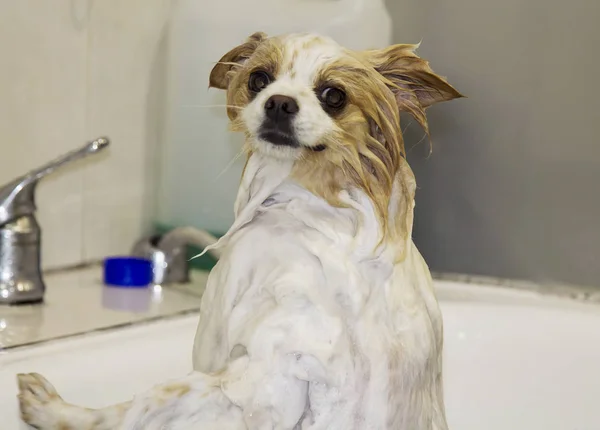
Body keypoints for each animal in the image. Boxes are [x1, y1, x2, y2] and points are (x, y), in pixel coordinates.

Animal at [17, 31, 460, 428]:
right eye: (259, 79)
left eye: (334, 95)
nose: (279, 103)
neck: (303, 209)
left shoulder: (269, 374)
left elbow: (136, 407)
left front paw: (57, 411)